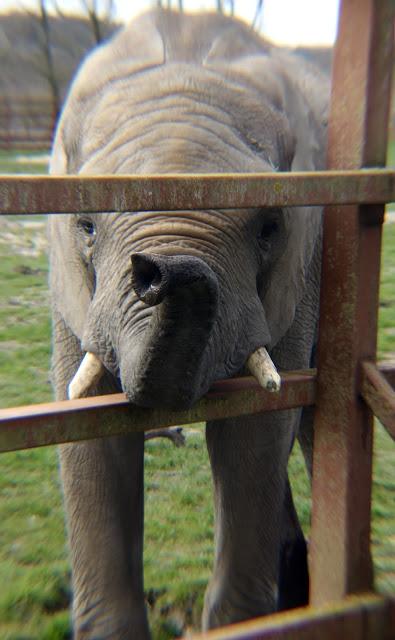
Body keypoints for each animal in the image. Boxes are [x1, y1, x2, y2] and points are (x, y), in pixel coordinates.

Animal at [48, 10, 330, 640]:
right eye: (85, 226)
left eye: (269, 227)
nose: (157, 270)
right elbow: (88, 425)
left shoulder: (301, 269)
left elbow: (257, 429)